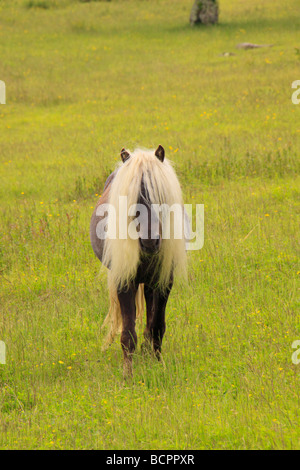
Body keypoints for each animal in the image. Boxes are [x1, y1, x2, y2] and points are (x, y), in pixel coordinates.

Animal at [90, 145, 186, 376]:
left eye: (161, 196)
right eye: (132, 200)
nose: (150, 242)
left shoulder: (163, 281)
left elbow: (157, 326)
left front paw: (158, 364)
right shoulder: (124, 281)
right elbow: (128, 334)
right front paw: (128, 375)